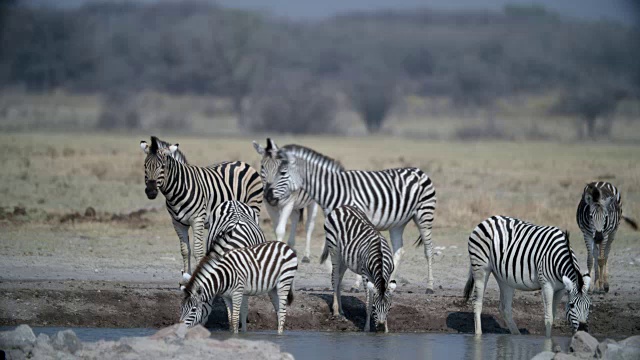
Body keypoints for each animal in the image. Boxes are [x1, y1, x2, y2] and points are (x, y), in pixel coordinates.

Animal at [140, 136, 262, 282]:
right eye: (145, 166)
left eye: (163, 166)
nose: (151, 191)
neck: (178, 190)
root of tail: (242, 163)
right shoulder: (177, 223)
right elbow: (185, 250)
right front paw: (186, 277)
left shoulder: (197, 219)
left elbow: (198, 250)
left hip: (253, 208)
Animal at [262, 143, 438, 292]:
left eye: (282, 173)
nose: (268, 196)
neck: (334, 189)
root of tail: (419, 171)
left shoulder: (354, 219)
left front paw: (355, 285)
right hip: (398, 223)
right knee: (399, 251)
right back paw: (389, 283)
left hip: (424, 215)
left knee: (428, 250)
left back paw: (430, 286)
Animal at [462, 217, 592, 338]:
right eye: (572, 305)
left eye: (589, 306)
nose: (583, 329)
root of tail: (488, 219)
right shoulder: (546, 285)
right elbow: (548, 317)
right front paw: (548, 341)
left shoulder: (560, 289)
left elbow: (553, 315)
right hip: (480, 268)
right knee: (477, 303)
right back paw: (478, 335)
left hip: (504, 277)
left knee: (505, 308)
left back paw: (516, 335)